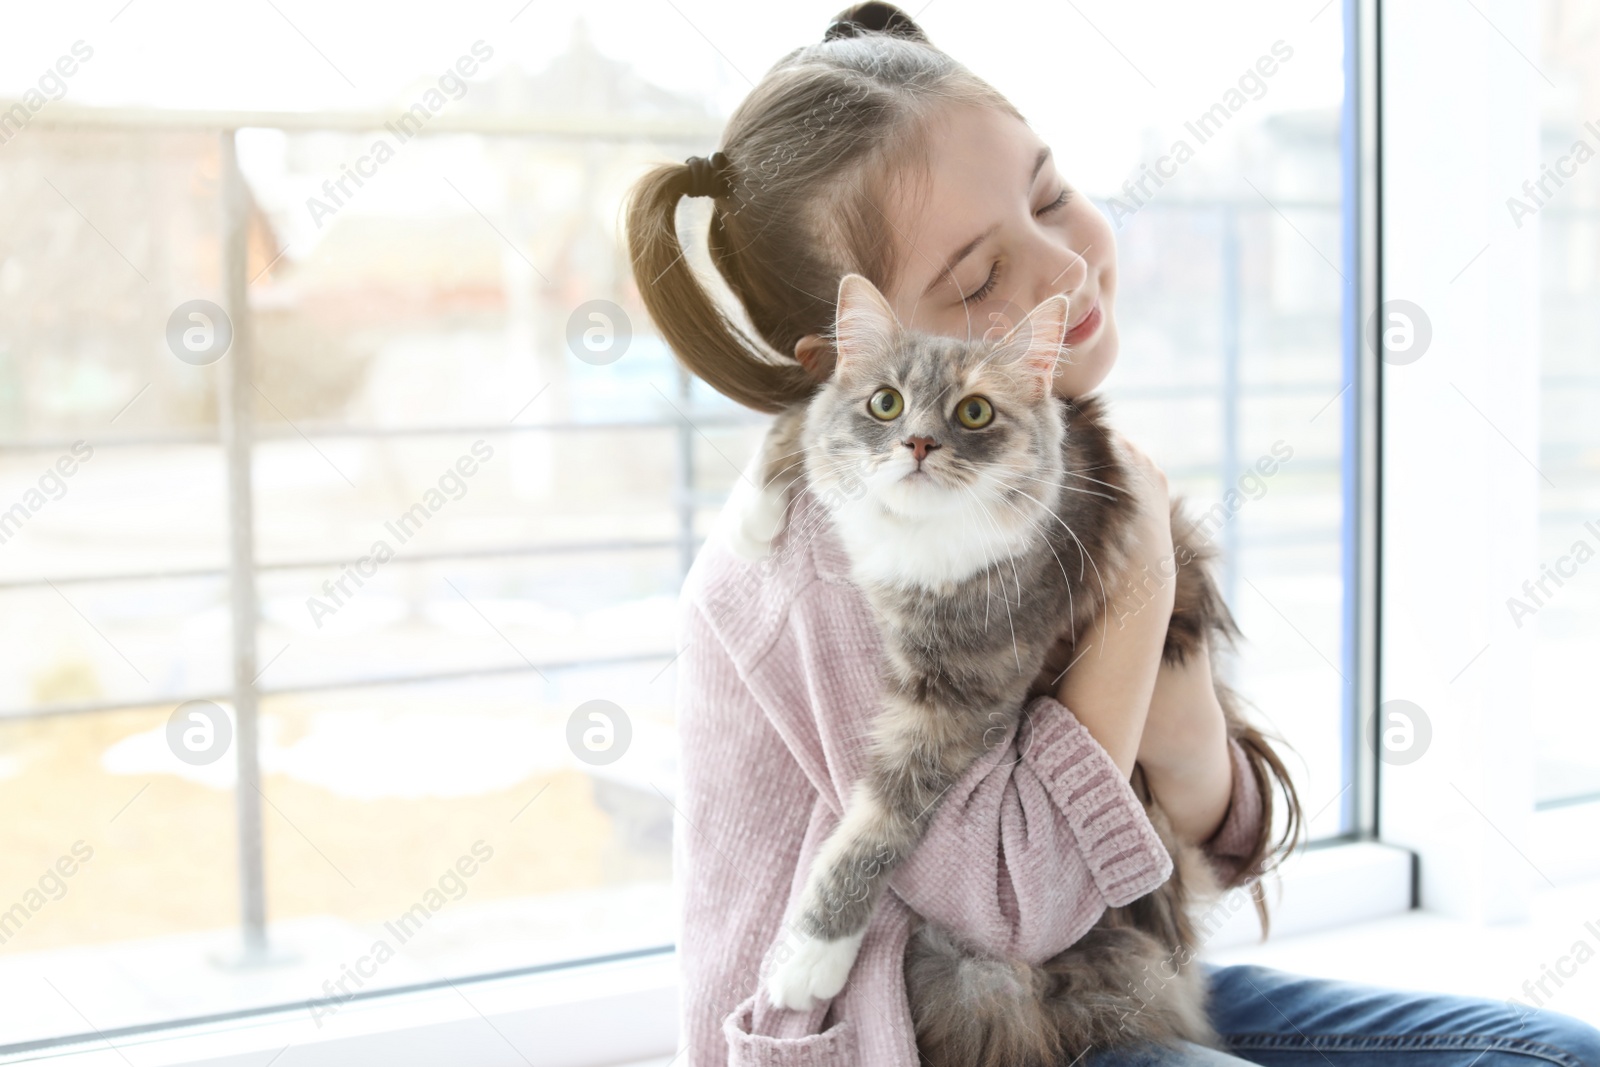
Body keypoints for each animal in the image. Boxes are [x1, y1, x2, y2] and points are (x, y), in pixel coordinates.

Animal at [729, 271, 1260, 1062]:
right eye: (885, 403)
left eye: (974, 413)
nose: (919, 443)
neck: (916, 541)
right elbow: (801, 416)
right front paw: (751, 516)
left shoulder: (955, 702)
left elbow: (875, 830)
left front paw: (809, 955)